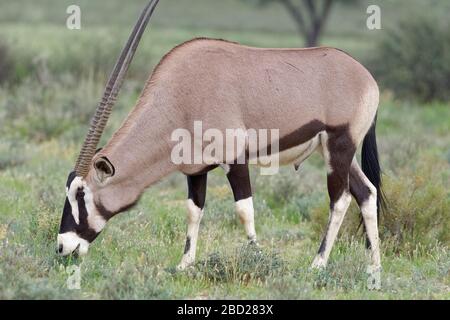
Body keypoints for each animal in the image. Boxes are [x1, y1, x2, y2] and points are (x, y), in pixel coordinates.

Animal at [58, 0, 384, 272]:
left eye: (81, 195)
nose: (63, 247)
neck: (179, 97)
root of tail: (368, 78)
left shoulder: (235, 159)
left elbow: (244, 210)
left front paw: (257, 258)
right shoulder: (195, 169)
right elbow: (193, 211)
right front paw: (184, 264)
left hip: (339, 146)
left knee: (340, 199)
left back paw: (317, 264)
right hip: (337, 152)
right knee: (366, 192)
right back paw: (375, 267)